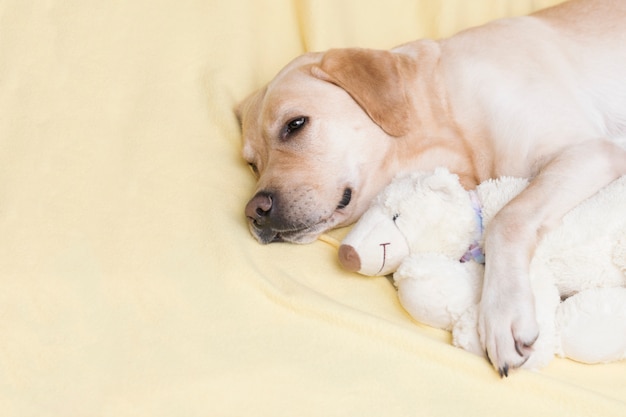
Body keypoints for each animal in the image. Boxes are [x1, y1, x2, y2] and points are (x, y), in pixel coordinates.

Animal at [234, 0, 624, 376]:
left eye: (295, 124)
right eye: (252, 164)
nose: (255, 211)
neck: (444, 116)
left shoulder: (589, 151)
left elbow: (507, 219)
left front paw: (502, 312)